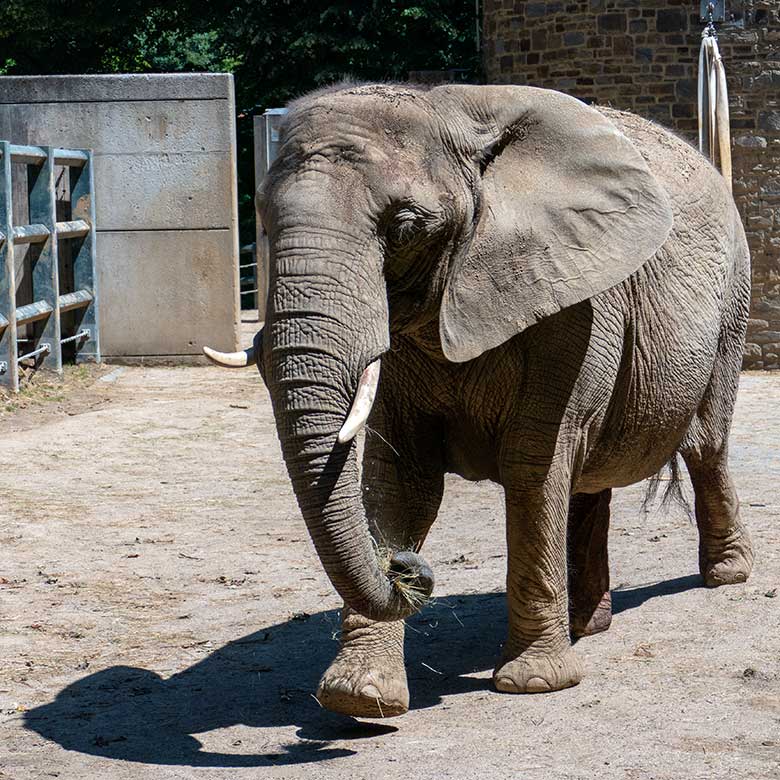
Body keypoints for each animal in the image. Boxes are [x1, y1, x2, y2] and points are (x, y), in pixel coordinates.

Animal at [204, 82, 752, 716]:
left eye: (405, 228)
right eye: (264, 225)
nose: (404, 565)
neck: (450, 115)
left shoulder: (576, 303)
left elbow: (534, 462)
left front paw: (535, 683)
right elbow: (400, 479)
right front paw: (359, 699)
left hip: (732, 300)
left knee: (704, 446)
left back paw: (725, 577)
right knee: (589, 478)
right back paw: (587, 625)